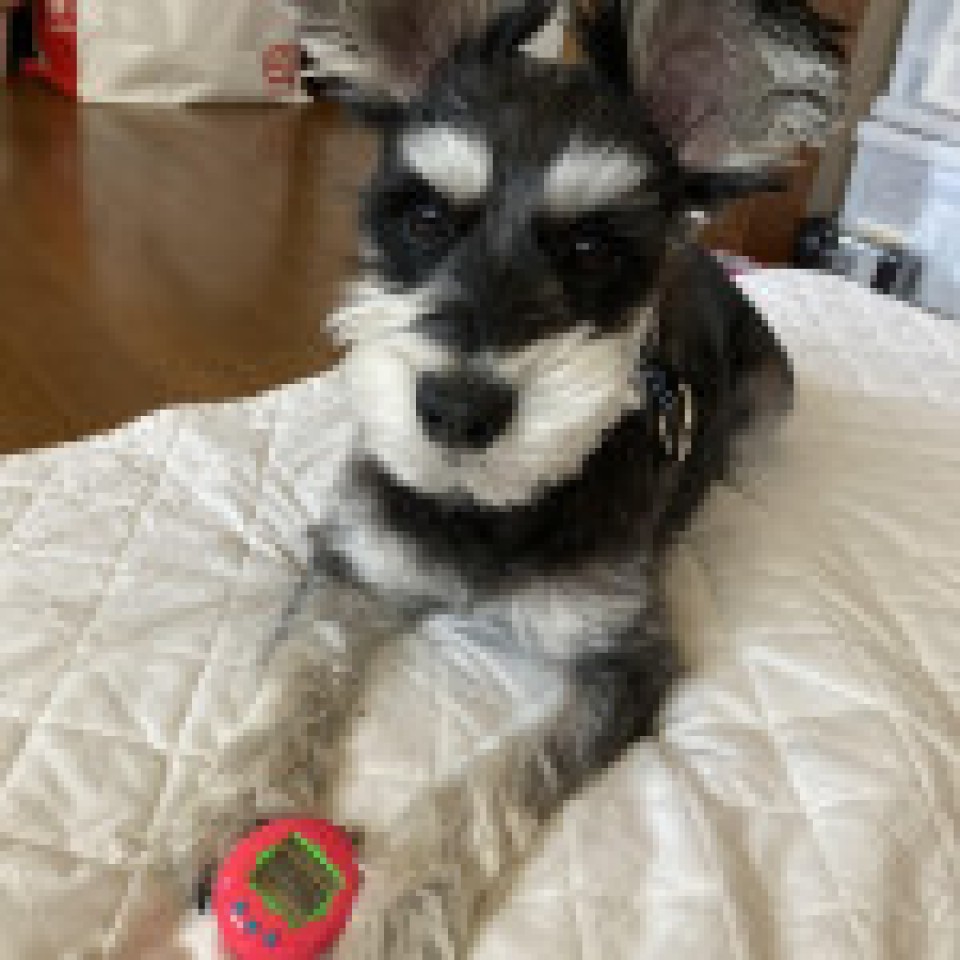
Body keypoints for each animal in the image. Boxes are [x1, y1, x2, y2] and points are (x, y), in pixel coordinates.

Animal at [180, 2, 845, 956]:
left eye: (592, 248)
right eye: (424, 217)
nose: (458, 410)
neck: (489, 507)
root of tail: (710, 264)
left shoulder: (625, 667)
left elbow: (495, 779)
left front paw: (403, 903)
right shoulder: (355, 563)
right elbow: (300, 668)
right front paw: (240, 804)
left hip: (771, 399)